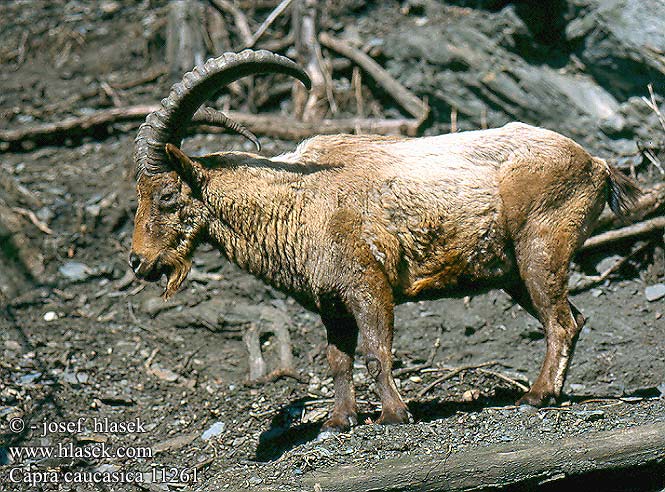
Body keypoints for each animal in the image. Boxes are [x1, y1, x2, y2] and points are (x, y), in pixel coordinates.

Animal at [128, 50, 640, 434]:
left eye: (168, 195)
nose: (137, 261)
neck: (299, 201)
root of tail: (596, 164)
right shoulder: (331, 301)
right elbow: (337, 359)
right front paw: (339, 421)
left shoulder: (367, 285)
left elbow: (376, 352)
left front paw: (395, 414)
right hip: (514, 274)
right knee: (573, 318)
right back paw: (554, 391)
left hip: (541, 248)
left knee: (561, 322)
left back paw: (536, 396)